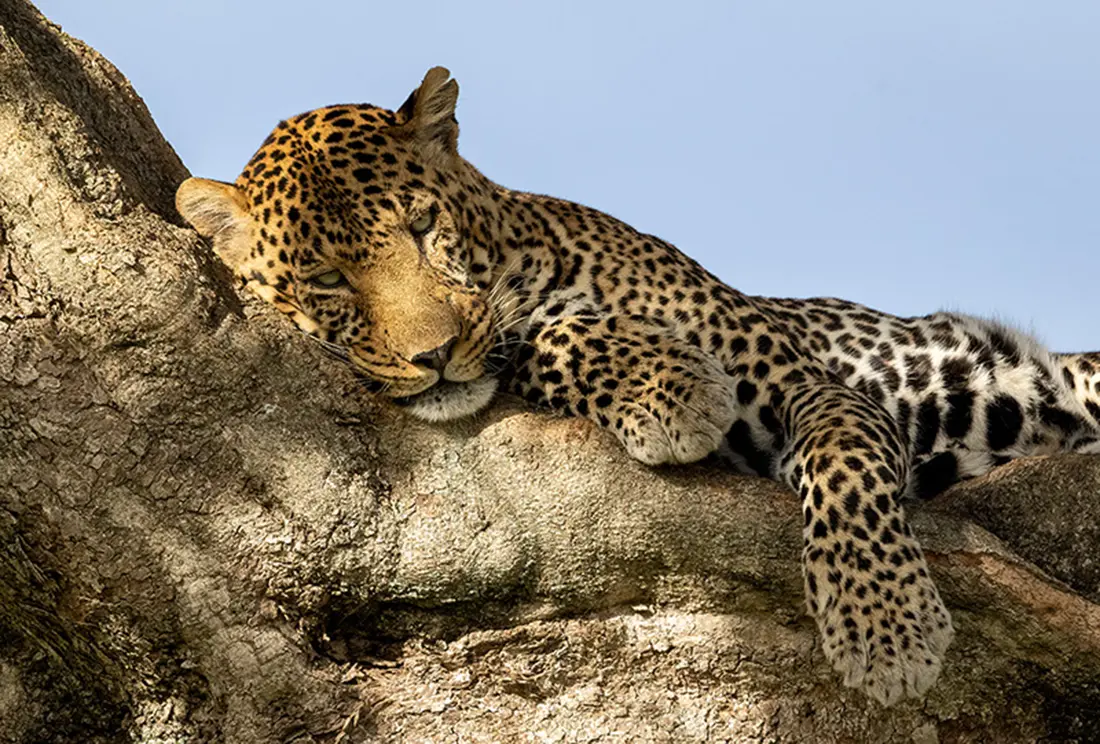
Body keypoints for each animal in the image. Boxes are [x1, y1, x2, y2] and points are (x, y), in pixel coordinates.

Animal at [176, 67, 1100, 706]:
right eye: (328, 279)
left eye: (424, 227)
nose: (432, 355)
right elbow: (541, 338)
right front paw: (667, 382)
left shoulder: (814, 384)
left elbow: (845, 472)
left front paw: (887, 627)